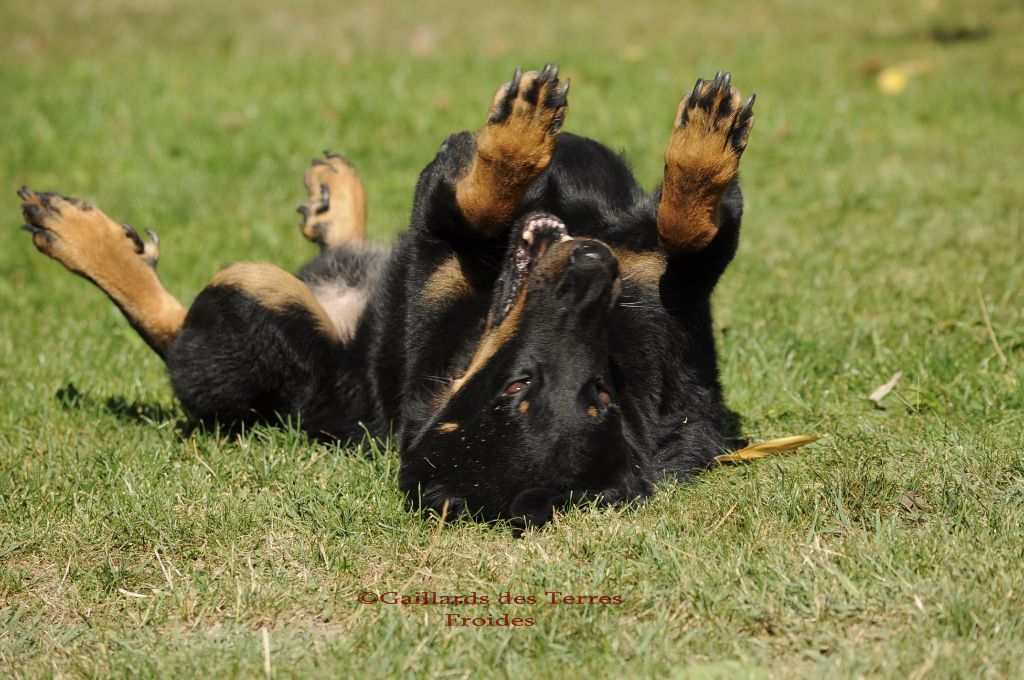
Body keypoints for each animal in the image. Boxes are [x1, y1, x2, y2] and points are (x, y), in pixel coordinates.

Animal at [16, 66, 753, 524]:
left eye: (595, 394)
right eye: (519, 387)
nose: (593, 268)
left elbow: (477, 201)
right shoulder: (676, 296)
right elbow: (687, 225)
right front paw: (700, 147)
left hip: (253, 298)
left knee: (173, 332)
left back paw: (79, 235)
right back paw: (333, 195)